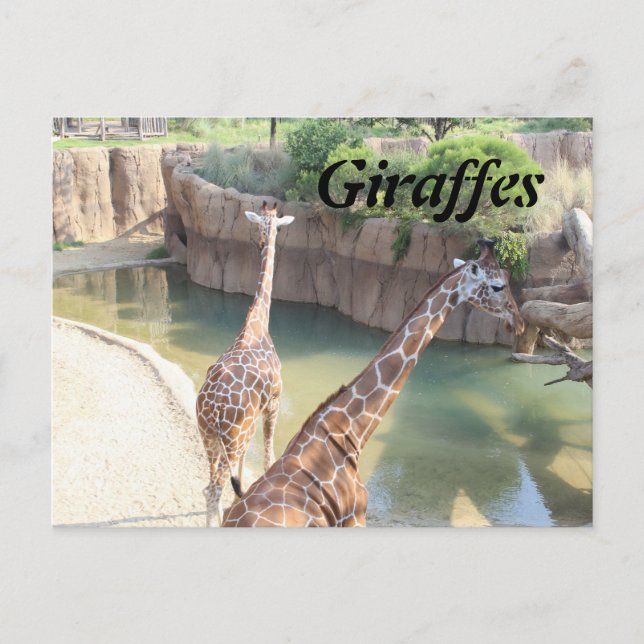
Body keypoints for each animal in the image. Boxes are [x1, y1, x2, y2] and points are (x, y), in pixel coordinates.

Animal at [196, 201, 294, 527]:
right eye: (271, 226)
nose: (264, 241)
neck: (257, 325)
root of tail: (212, 409)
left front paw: (243, 495)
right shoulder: (273, 402)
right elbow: (268, 456)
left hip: (210, 437)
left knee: (209, 484)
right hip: (231, 436)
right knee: (213, 488)